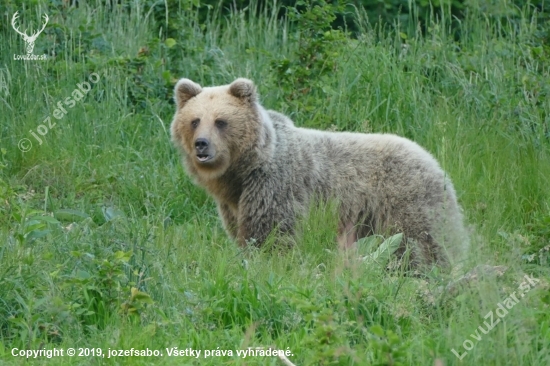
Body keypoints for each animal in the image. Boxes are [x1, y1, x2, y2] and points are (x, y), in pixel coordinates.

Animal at [171, 78, 470, 268]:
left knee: (422, 240)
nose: (202, 144)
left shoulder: (275, 186)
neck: (243, 172)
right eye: (195, 120)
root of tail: (433, 160)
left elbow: (271, 233)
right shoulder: (234, 202)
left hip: (405, 199)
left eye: (221, 121)